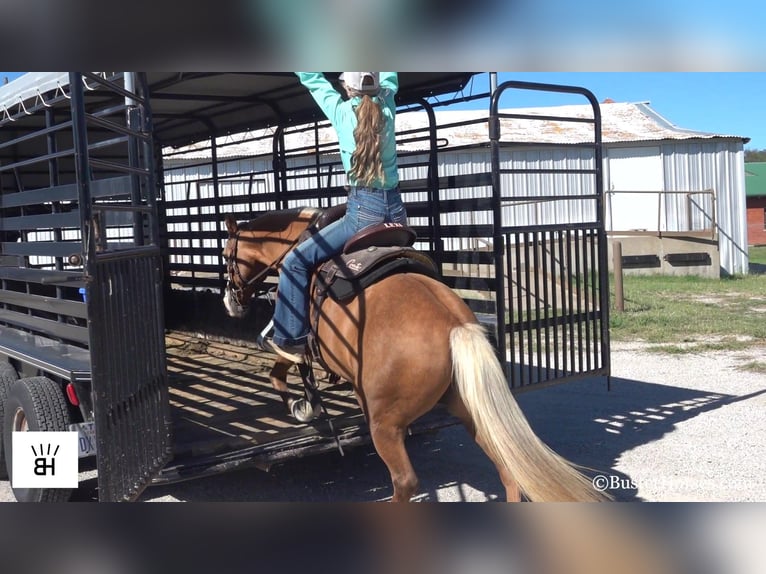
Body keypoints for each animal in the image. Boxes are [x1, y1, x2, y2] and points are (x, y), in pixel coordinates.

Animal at [222, 209, 612, 502]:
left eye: (225, 255)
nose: (230, 301)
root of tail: (455, 326)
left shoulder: (293, 337)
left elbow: (280, 366)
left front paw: (301, 406)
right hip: (466, 408)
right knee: (507, 469)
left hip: (385, 425)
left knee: (405, 483)